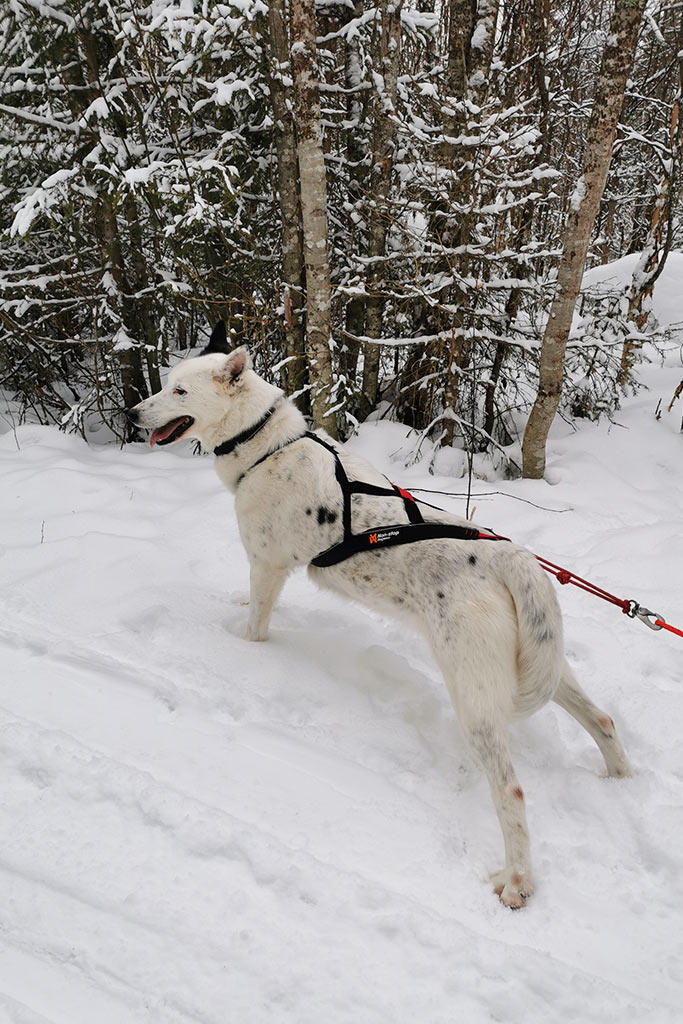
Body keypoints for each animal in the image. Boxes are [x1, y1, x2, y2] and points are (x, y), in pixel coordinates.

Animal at [127, 323, 630, 909]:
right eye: (167, 384)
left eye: (180, 392)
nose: (134, 414)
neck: (266, 446)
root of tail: (514, 557)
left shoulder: (267, 565)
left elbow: (255, 627)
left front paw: (239, 643)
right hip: (545, 666)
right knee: (601, 718)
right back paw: (620, 780)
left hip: (476, 698)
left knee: (512, 789)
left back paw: (517, 881)